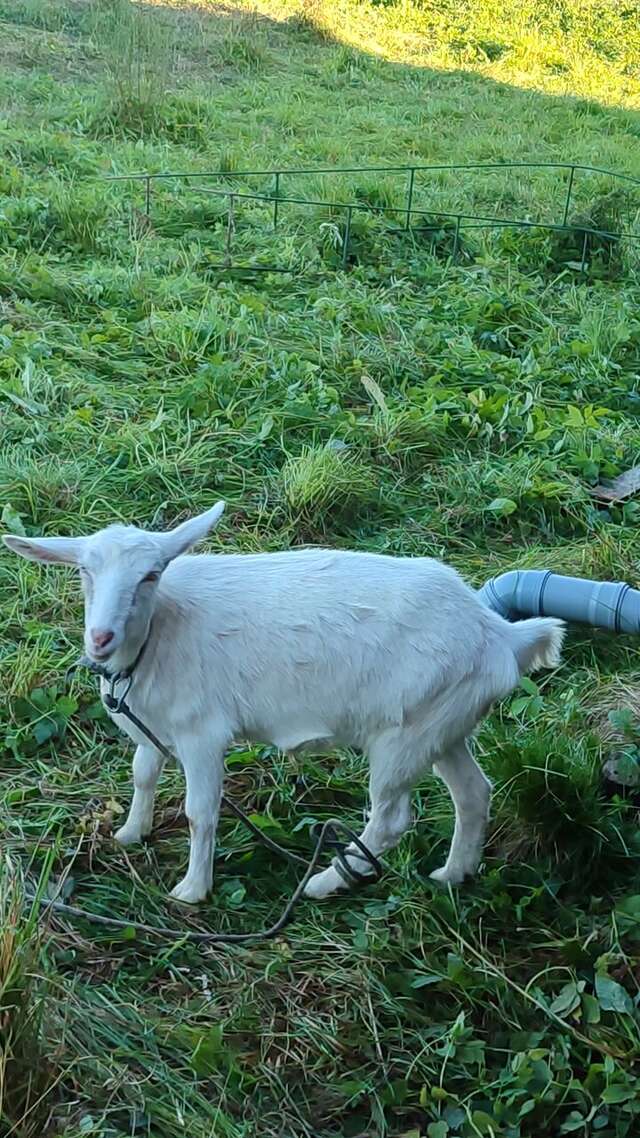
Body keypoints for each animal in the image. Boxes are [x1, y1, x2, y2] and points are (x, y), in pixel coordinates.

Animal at [4, 504, 564, 904]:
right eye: (84, 572)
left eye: (151, 575)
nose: (101, 638)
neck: (158, 635)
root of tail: (499, 636)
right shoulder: (155, 727)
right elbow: (142, 776)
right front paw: (128, 834)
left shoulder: (203, 732)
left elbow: (200, 811)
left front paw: (192, 890)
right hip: (443, 724)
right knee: (473, 792)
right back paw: (453, 873)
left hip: (403, 735)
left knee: (389, 820)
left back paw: (325, 882)